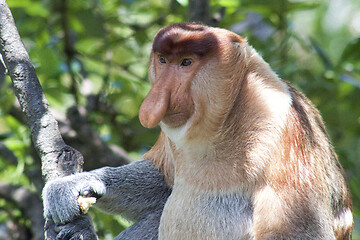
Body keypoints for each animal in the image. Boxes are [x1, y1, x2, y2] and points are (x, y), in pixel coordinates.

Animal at [42, 23, 352, 240]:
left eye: (187, 63)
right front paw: (74, 186)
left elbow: (298, 230)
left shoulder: (284, 128)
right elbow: (162, 182)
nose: (154, 102)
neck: (221, 125)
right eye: (163, 60)